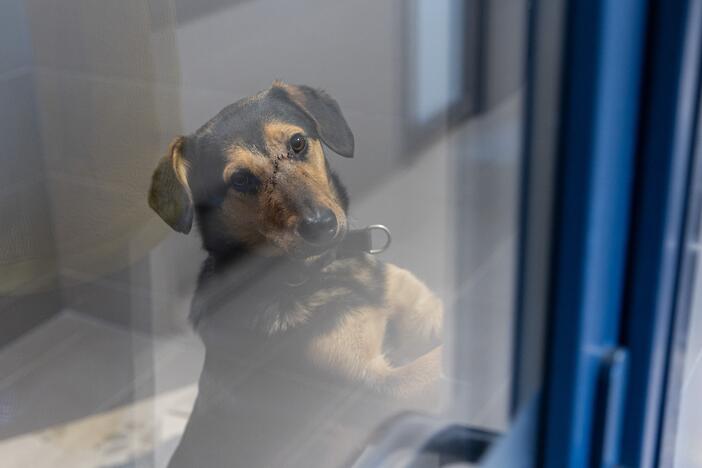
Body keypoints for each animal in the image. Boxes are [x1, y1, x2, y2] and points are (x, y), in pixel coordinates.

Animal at [148, 82, 446, 466]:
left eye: (298, 143)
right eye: (240, 179)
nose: (320, 226)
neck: (319, 270)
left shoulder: (422, 312)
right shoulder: (371, 389)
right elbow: (438, 367)